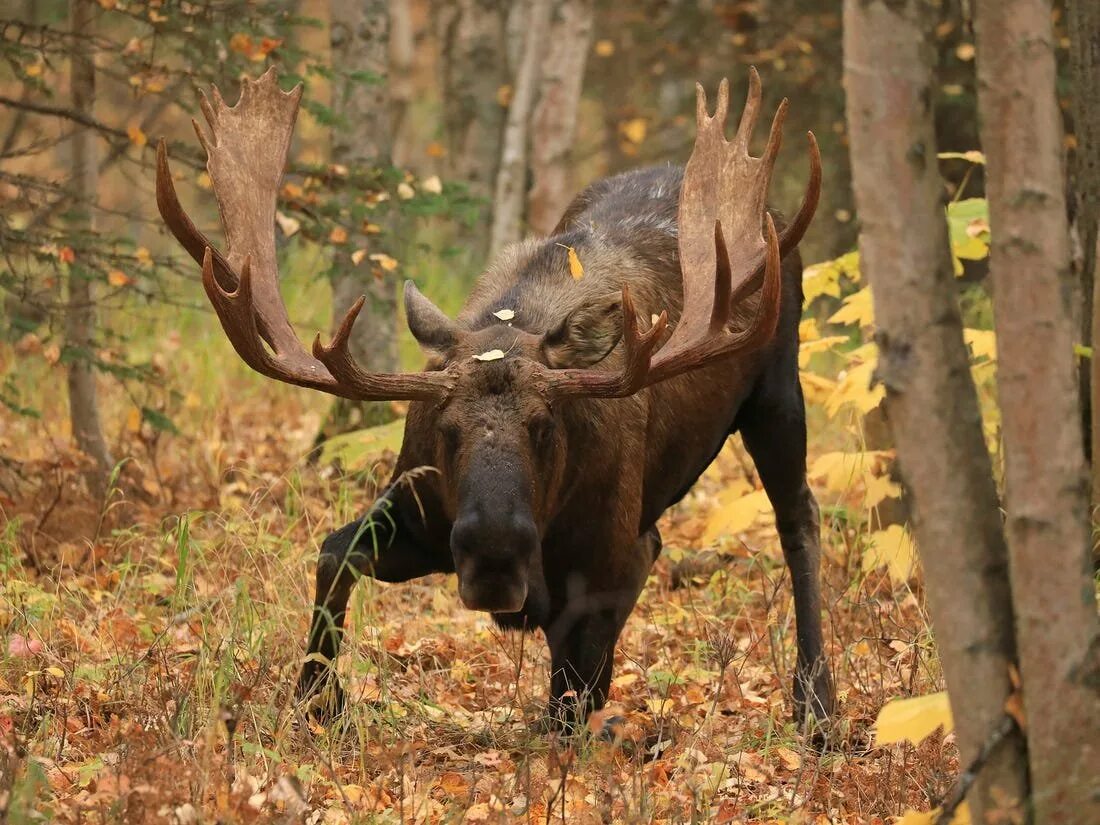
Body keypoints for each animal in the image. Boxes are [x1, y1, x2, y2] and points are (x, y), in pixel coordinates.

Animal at [155, 67, 831, 734]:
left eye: (544, 425)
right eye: (446, 428)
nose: (494, 555)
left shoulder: (612, 562)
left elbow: (570, 702)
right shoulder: (419, 515)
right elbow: (333, 553)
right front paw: (319, 700)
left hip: (777, 389)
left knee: (798, 519)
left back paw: (817, 704)